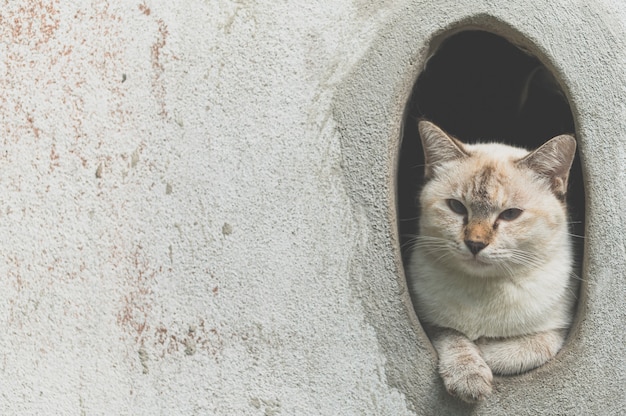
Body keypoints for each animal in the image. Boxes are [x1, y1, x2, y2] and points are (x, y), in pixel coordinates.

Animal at [408, 120, 576, 404]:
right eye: (457, 207)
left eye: (510, 214)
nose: (475, 244)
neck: (484, 291)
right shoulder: (429, 321)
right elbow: (454, 338)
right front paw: (469, 376)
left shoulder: (557, 329)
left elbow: (523, 349)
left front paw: (484, 350)